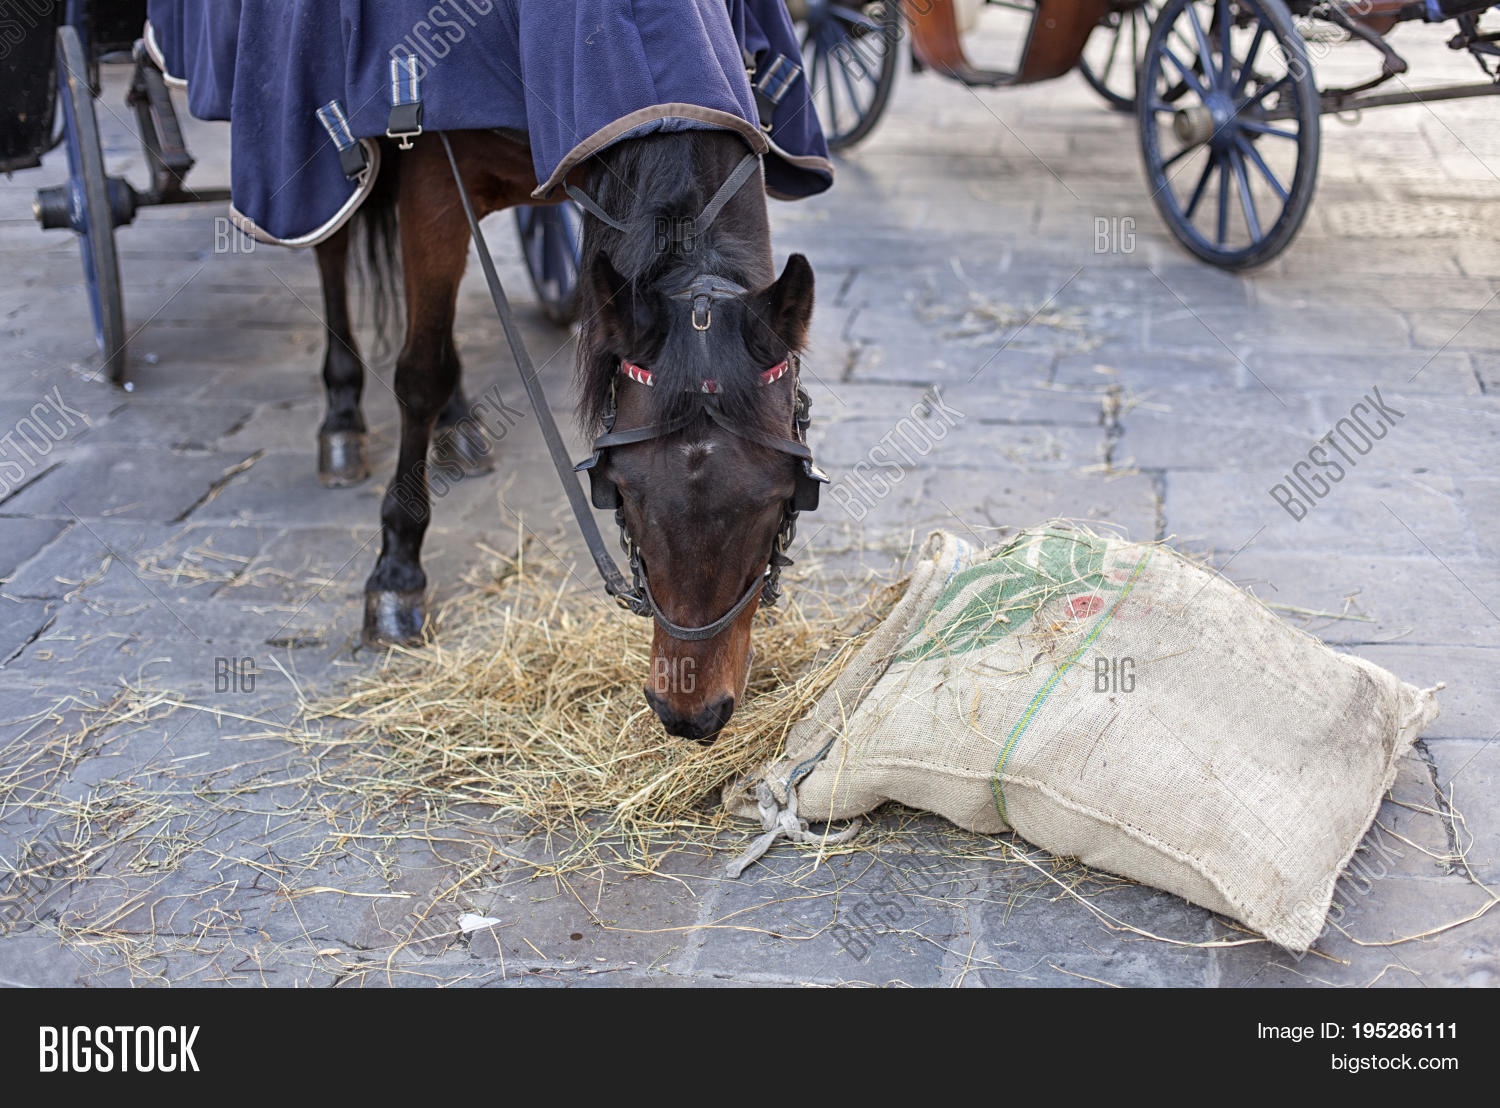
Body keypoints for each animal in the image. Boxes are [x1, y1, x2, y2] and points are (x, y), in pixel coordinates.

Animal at [308, 127, 816, 742]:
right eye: (623, 493)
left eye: (777, 500)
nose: (688, 713)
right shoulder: (430, 168)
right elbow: (421, 373)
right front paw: (397, 568)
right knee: (333, 242)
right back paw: (342, 417)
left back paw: (459, 424)